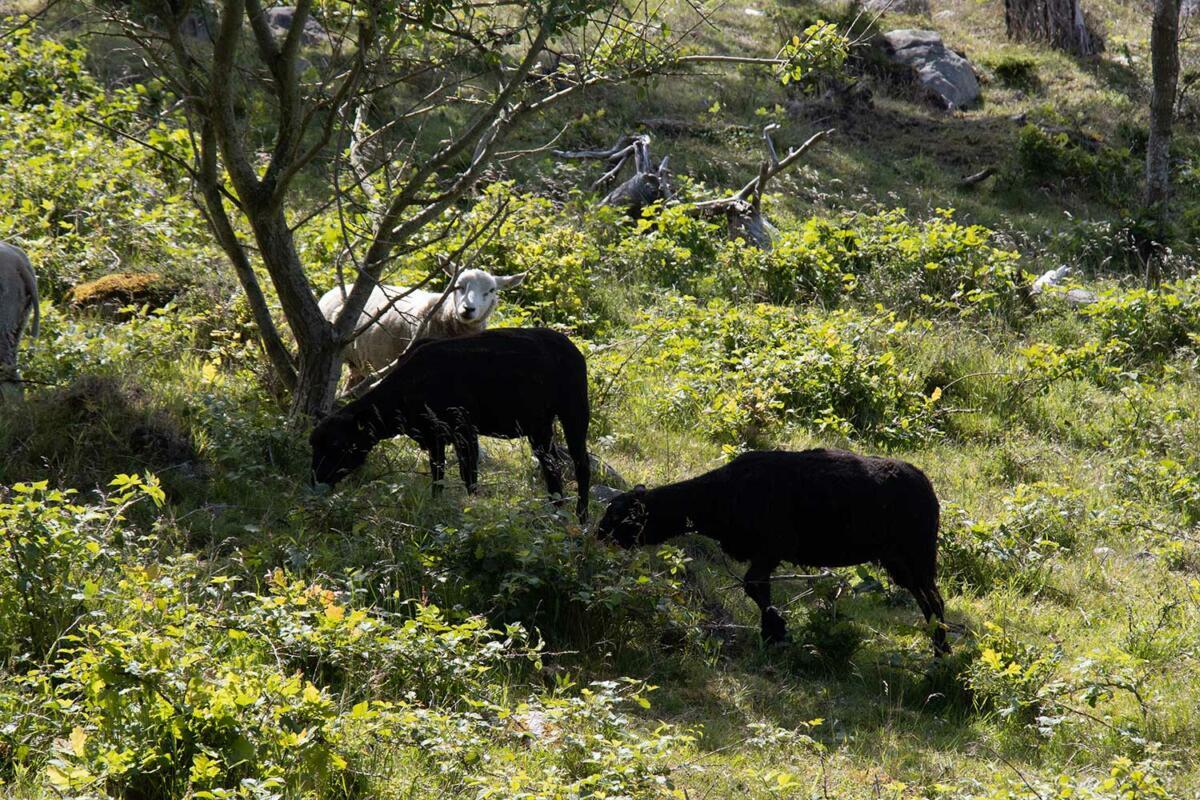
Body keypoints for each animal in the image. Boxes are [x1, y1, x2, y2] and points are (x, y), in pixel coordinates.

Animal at [309, 328, 590, 522]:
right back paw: (556, 510)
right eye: (313, 445)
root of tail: (572, 349)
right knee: (551, 464)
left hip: (574, 410)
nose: (315, 482)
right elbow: (438, 475)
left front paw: (470, 510)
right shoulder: (434, 435)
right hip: (538, 425)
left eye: (337, 445)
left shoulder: (463, 429)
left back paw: (581, 516)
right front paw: (437, 505)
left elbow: (467, 475)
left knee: (581, 464)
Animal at [595, 448, 950, 652]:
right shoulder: (765, 552)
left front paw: (776, 632)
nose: (598, 537)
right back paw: (938, 646)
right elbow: (758, 587)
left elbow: (753, 585)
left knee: (935, 600)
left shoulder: (774, 545)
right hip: (898, 560)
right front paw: (772, 632)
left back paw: (941, 652)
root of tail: (928, 487)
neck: (715, 496)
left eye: (617, 515)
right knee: (927, 600)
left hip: (916, 552)